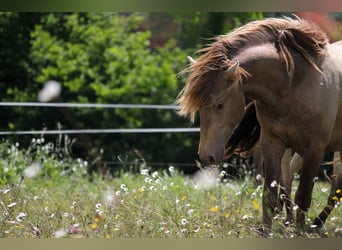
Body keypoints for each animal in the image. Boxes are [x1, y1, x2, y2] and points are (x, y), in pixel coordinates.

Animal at [176, 16, 342, 235]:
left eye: (220, 103)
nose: (206, 155)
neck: (296, 82)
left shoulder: (314, 149)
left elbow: (303, 196)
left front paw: (299, 231)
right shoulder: (272, 143)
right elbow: (269, 194)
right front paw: (265, 231)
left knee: (334, 189)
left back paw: (315, 223)